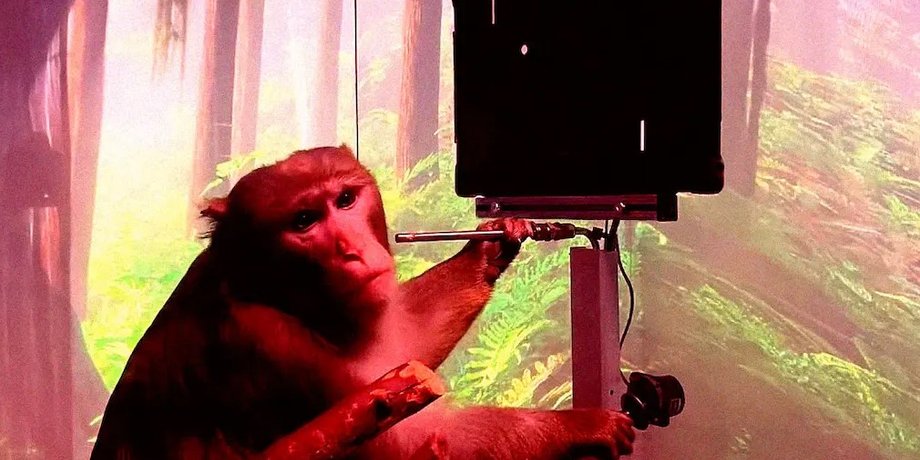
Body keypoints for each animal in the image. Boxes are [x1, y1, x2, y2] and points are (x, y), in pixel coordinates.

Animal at [90, 145, 635, 459]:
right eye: (305, 221)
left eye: (346, 200)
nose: (351, 249)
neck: (262, 280)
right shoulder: (268, 344)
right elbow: (412, 439)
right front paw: (582, 425)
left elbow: (402, 349)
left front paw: (490, 247)